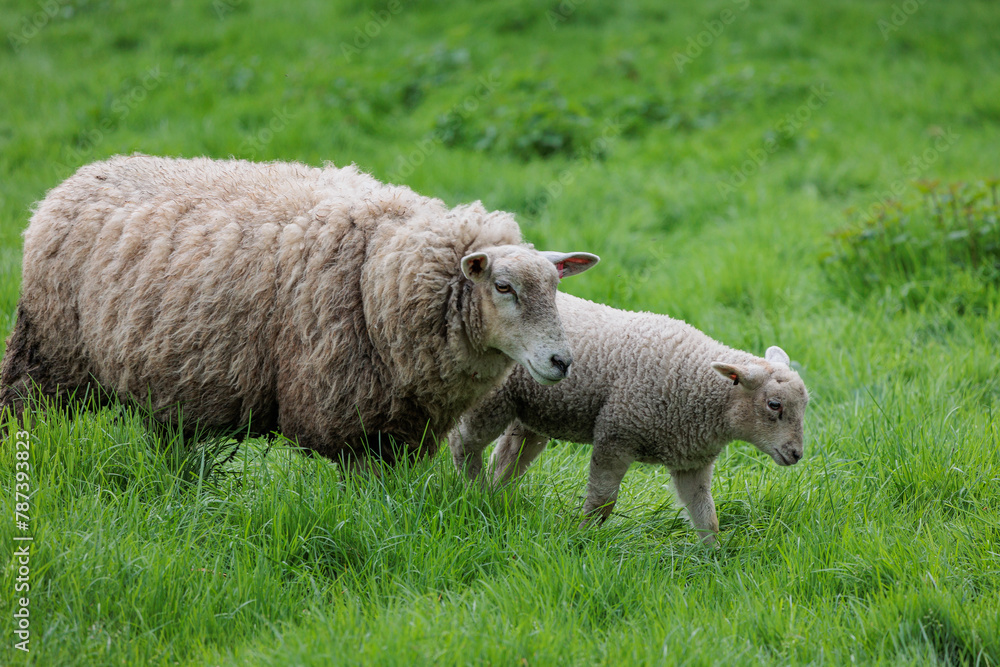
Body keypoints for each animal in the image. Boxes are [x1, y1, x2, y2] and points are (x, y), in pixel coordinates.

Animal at [0, 154, 599, 465]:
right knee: (23, 412)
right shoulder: (341, 418)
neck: (380, 273)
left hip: (170, 376)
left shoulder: (403, 429)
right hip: (46, 356)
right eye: (503, 286)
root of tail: (73, 178)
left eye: (555, 287)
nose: (562, 362)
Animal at [448, 292, 810, 543]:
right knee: (463, 442)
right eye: (774, 405)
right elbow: (602, 503)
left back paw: (494, 501)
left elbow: (706, 515)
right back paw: (473, 492)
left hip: (529, 413)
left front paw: (715, 560)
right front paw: (583, 539)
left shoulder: (691, 461)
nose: (796, 454)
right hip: (492, 398)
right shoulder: (616, 435)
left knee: (507, 460)